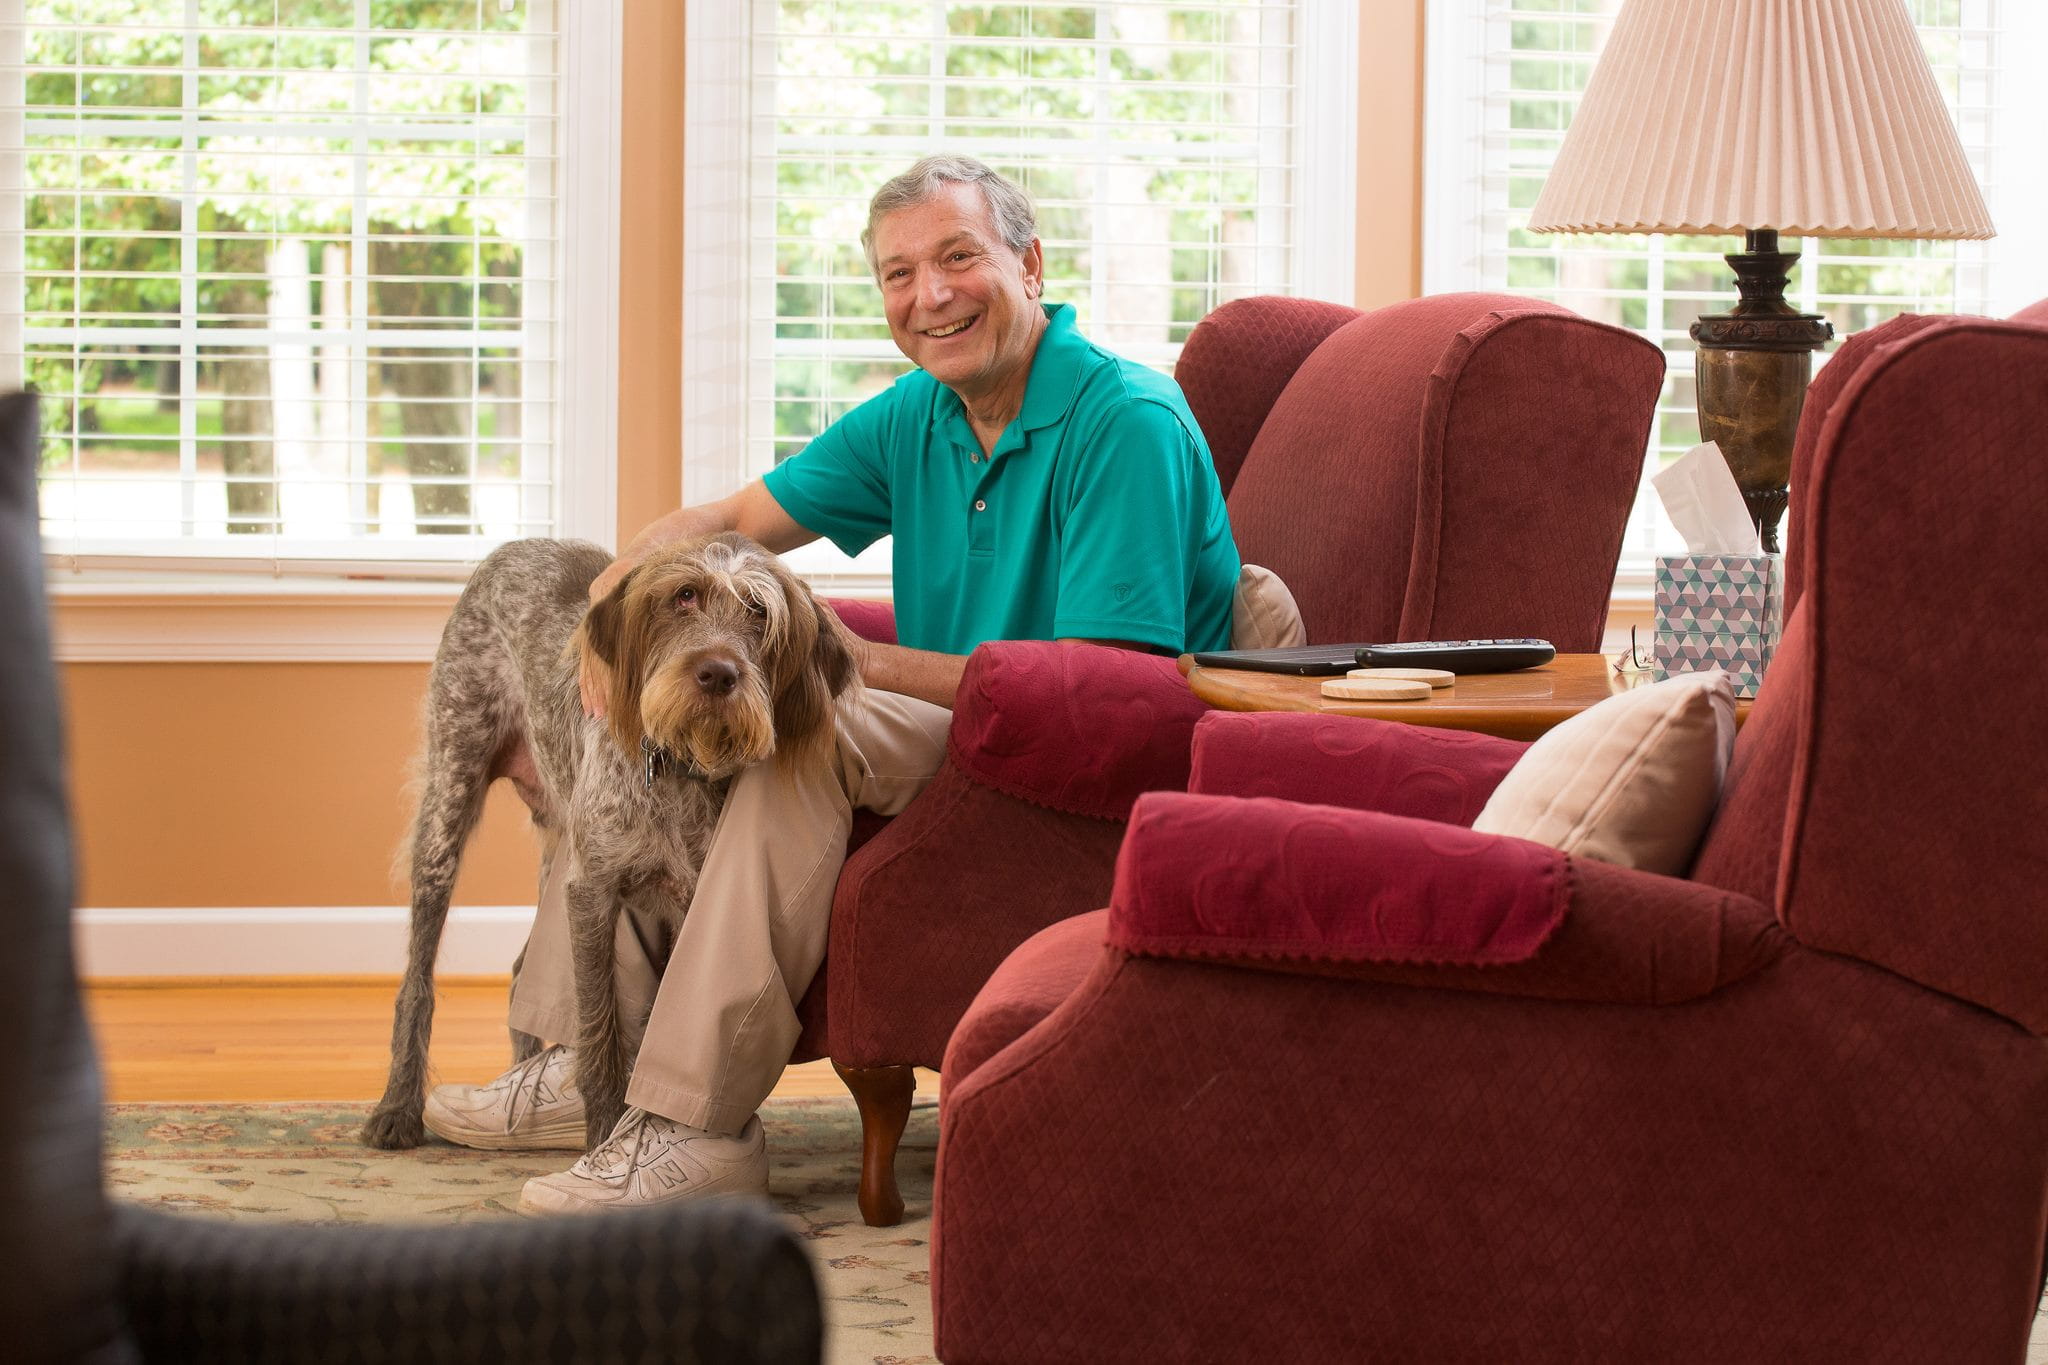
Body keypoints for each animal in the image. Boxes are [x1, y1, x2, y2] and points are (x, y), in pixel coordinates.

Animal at [360, 532, 856, 1154]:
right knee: (417, 981)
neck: (676, 768)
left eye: (759, 612)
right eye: (684, 596)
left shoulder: (690, 904)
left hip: (554, 845)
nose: (718, 674)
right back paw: (399, 1106)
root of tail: (516, 543)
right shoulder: (591, 893)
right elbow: (600, 1032)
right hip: (449, 800)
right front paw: (601, 1136)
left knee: (521, 970)